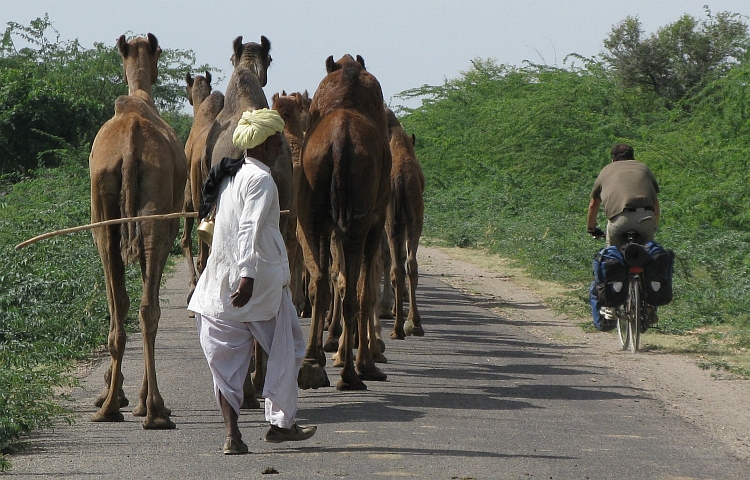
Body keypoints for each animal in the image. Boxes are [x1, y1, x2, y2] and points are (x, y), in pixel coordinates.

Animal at [297, 54, 391, 390]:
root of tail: (339, 143)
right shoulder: (375, 219)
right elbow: (365, 290)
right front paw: (366, 364)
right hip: (359, 219)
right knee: (354, 292)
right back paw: (356, 371)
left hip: (310, 211)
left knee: (321, 282)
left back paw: (312, 363)